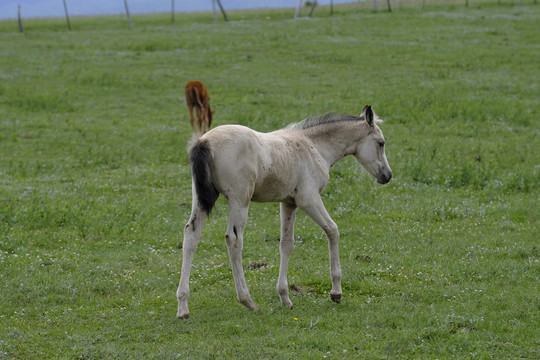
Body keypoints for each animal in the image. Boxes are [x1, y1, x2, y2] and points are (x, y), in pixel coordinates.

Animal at [177, 104, 392, 318]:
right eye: (381, 143)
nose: (387, 176)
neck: (314, 146)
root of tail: (204, 141)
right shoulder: (309, 199)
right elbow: (332, 230)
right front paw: (336, 292)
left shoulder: (288, 203)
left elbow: (286, 244)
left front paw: (285, 298)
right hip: (240, 200)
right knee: (234, 239)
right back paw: (248, 301)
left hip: (202, 199)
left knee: (191, 234)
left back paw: (183, 306)